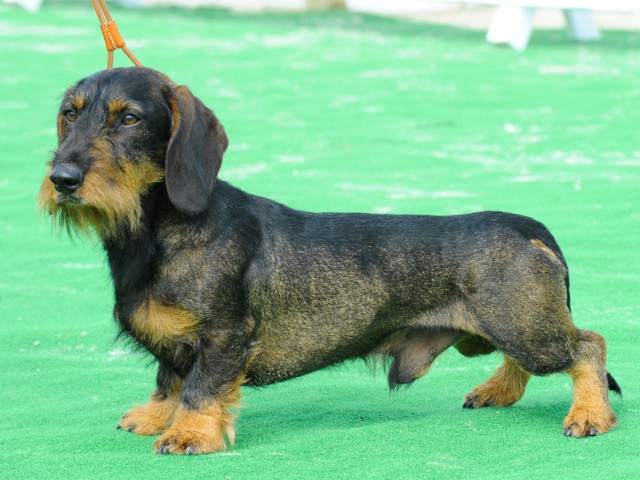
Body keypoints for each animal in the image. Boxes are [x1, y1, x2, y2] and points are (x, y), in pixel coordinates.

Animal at [38, 67, 620, 455]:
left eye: (129, 118)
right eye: (70, 113)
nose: (62, 179)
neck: (158, 231)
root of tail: (526, 227)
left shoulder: (225, 336)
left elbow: (201, 387)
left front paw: (189, 434)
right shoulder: (179, 341)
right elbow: (170, 376)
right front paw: (158, 416)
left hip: (524, 327)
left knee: (588, 347)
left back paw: (590, 414)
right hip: (507, 329)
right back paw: (495, 391)